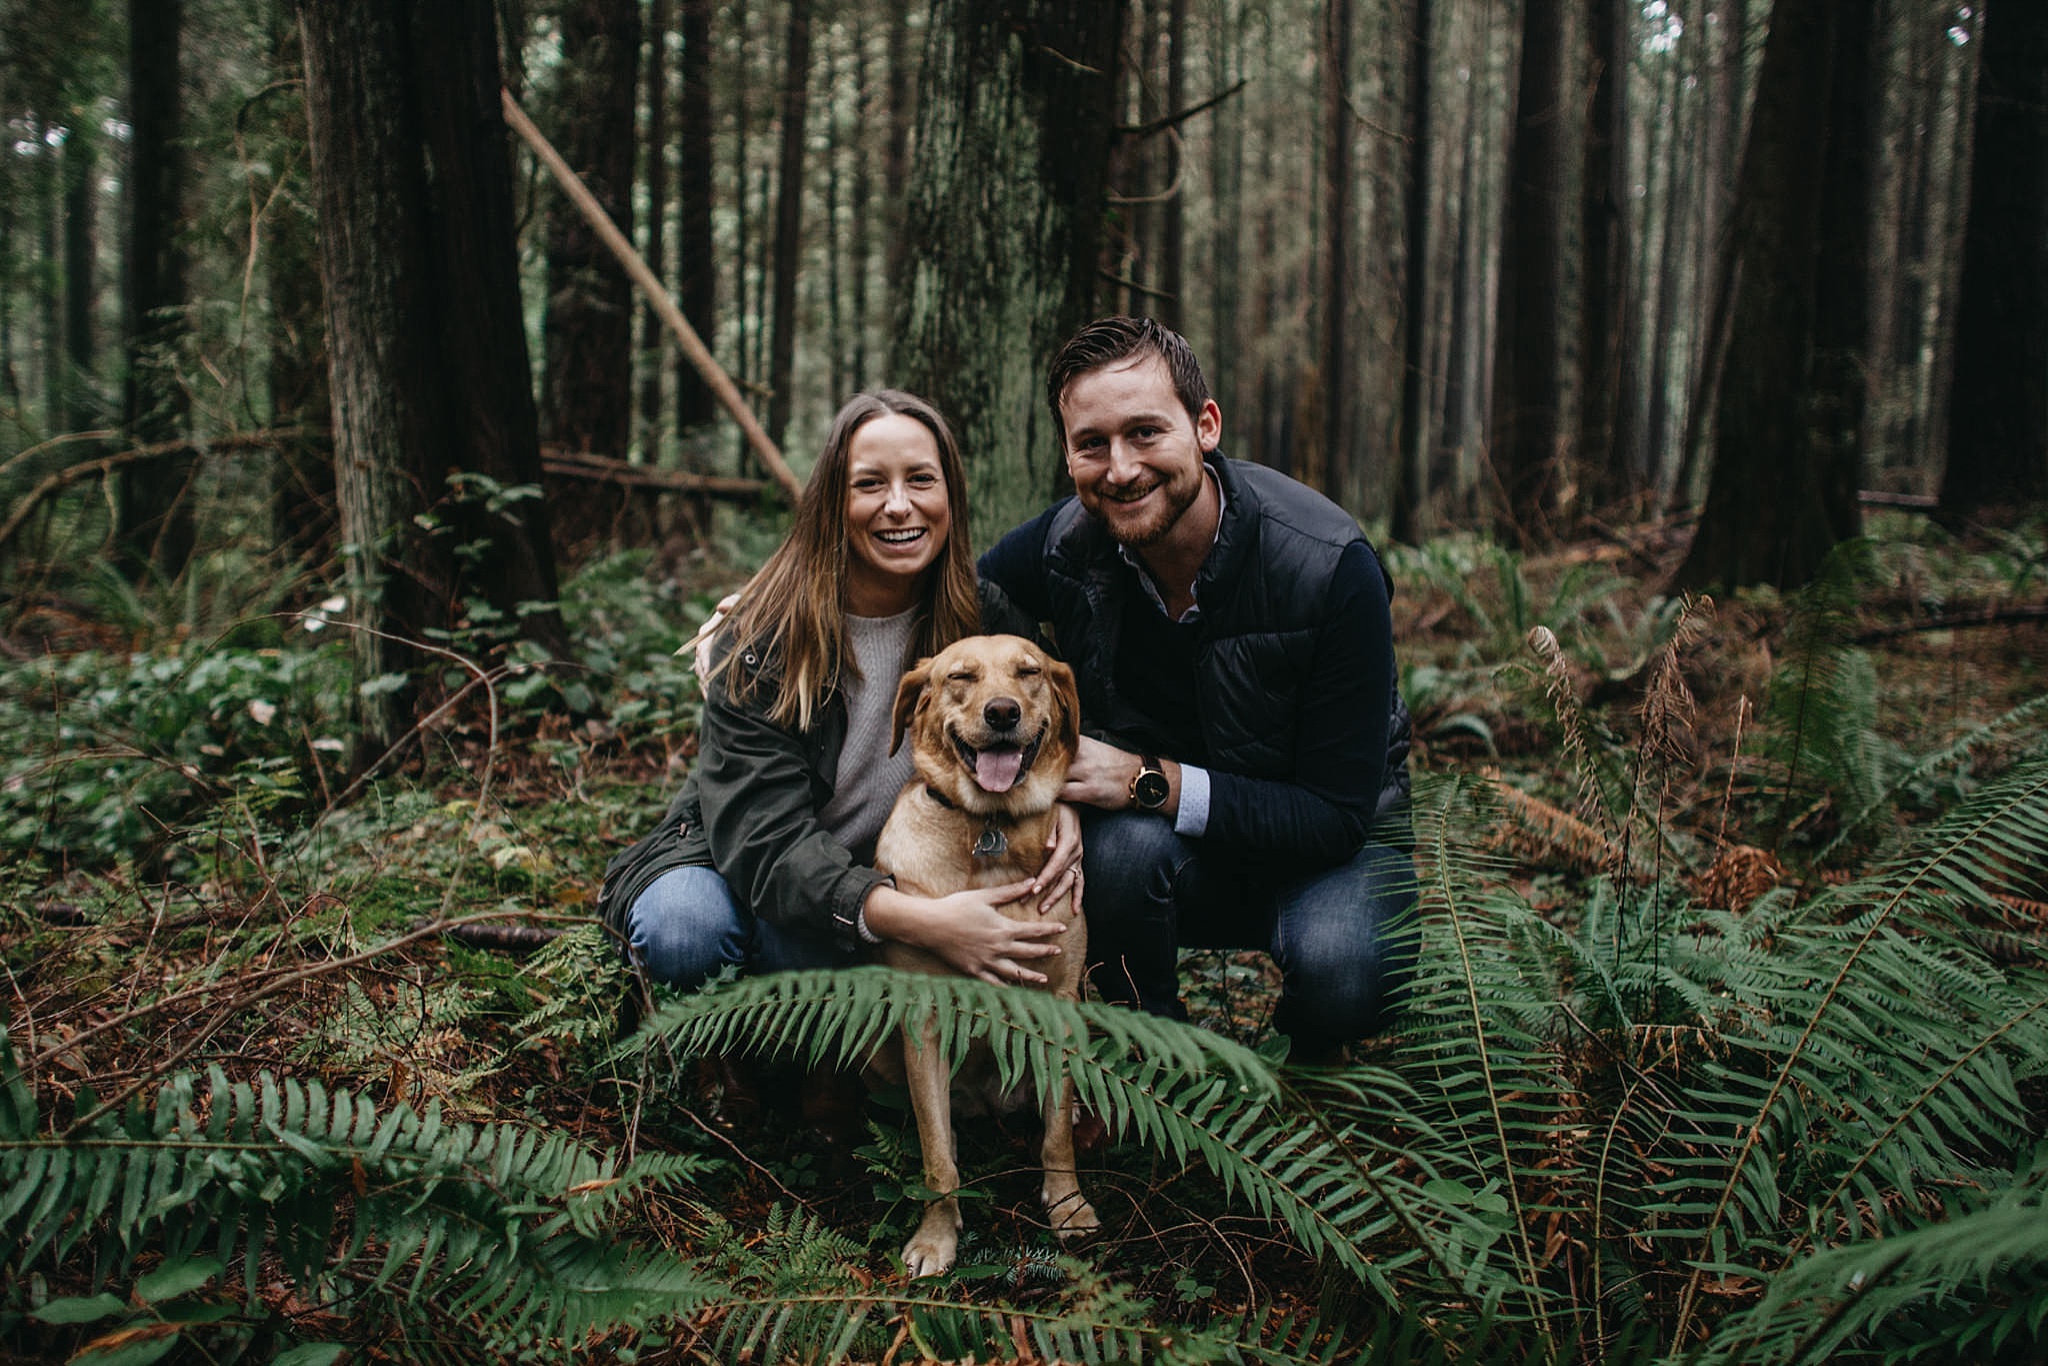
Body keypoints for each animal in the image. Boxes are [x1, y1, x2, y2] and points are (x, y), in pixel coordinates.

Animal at [876, 634, 1105, 1277]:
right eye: (961, 676)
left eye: (1028, 672)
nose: (1002, 712)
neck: (991, 829)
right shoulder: (923, 1020)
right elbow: (936, 1155)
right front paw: (936, 1238)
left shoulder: (1061, 1003)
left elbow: (1053, 1136)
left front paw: (1068, 1206)